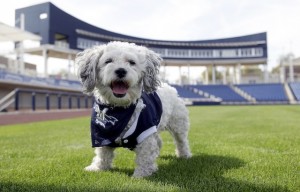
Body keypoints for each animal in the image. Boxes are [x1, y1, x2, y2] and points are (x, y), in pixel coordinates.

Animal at [75, 41, 192, 178]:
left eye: (131, 62)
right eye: (108, 61)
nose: (121, 71)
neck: (120, 108)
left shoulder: (146, 134)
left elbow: (145, 156)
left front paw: (141, 175)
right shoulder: (101, 135)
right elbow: (103, 154)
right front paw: (98, 167)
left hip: (178, 124)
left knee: (181, 141)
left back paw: (184, 155)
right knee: (159, 141)